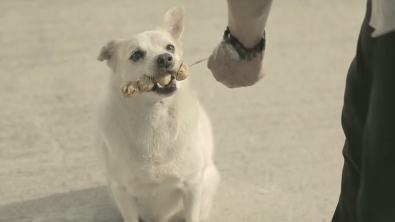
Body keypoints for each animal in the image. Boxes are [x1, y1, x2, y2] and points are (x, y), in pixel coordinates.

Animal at [94, 6, 221, 222]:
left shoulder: (192, 185)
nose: (165, 58)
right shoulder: (122, 192)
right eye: (136, 55)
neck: (154, 115)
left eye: (170, 48)